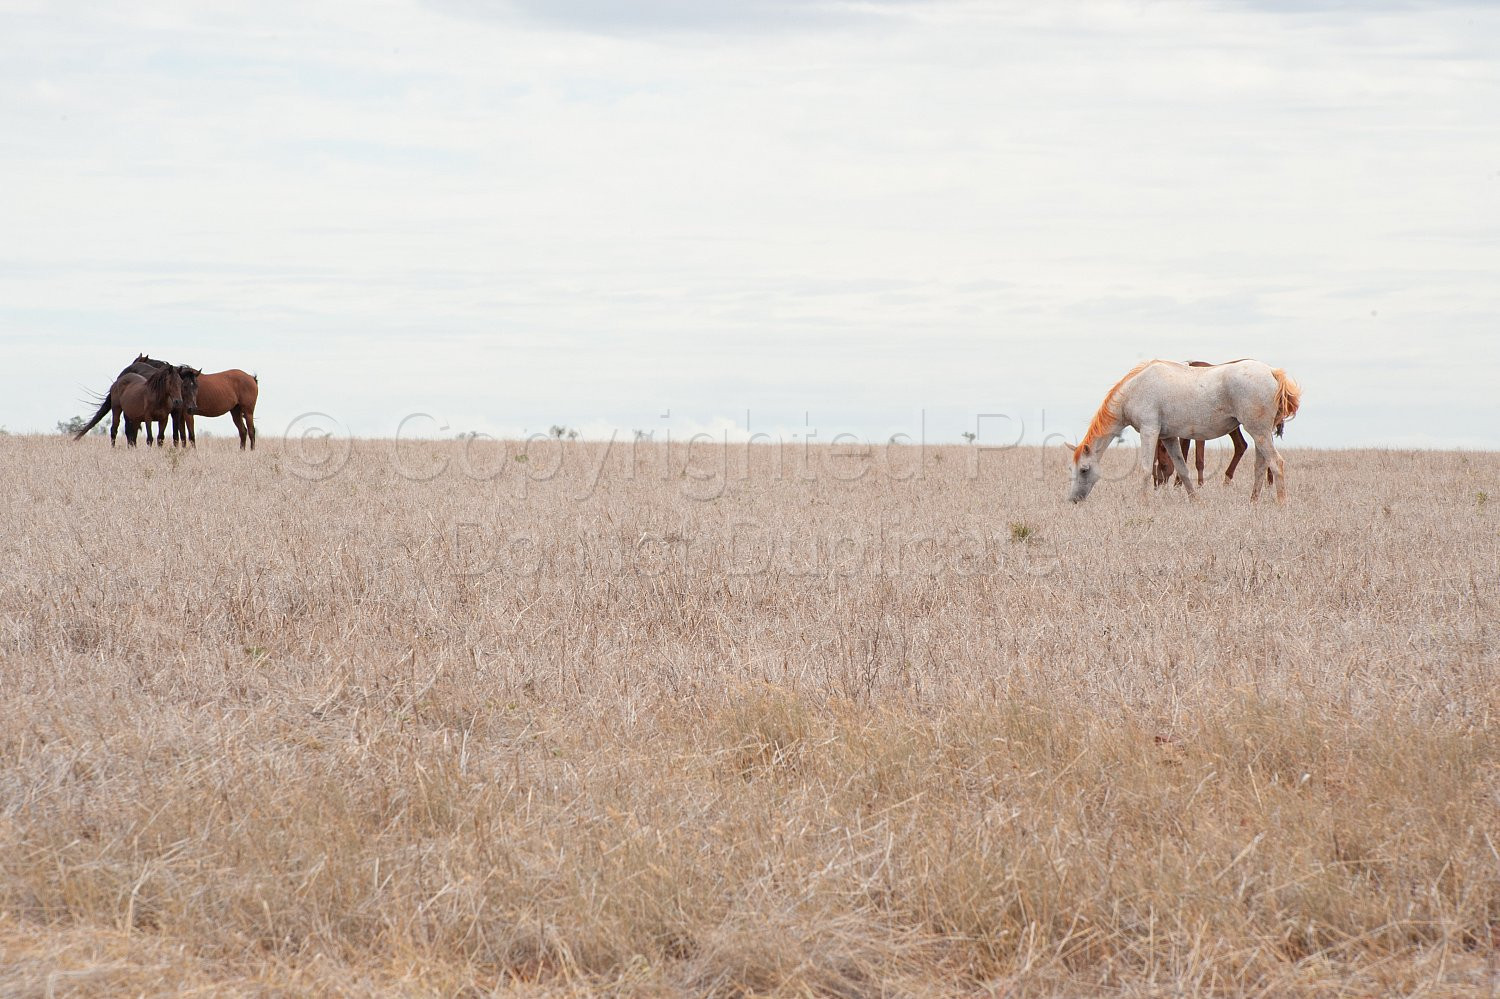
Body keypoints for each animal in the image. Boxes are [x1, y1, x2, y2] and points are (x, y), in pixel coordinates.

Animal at [1066, 359, 1300, 504]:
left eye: (1084, 470)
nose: (1073, 500)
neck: (1135, 388)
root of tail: (1272, 372)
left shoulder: (1149, 431)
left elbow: (1145, 469)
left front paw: (1142, 502)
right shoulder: (1169, 437)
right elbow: (1182, 469)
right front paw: (1196, 501)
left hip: (1258, 432)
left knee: (1276, 463)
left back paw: (1281, 503)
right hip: (1261, 434)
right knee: (1260, 466)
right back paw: (1253, 502)